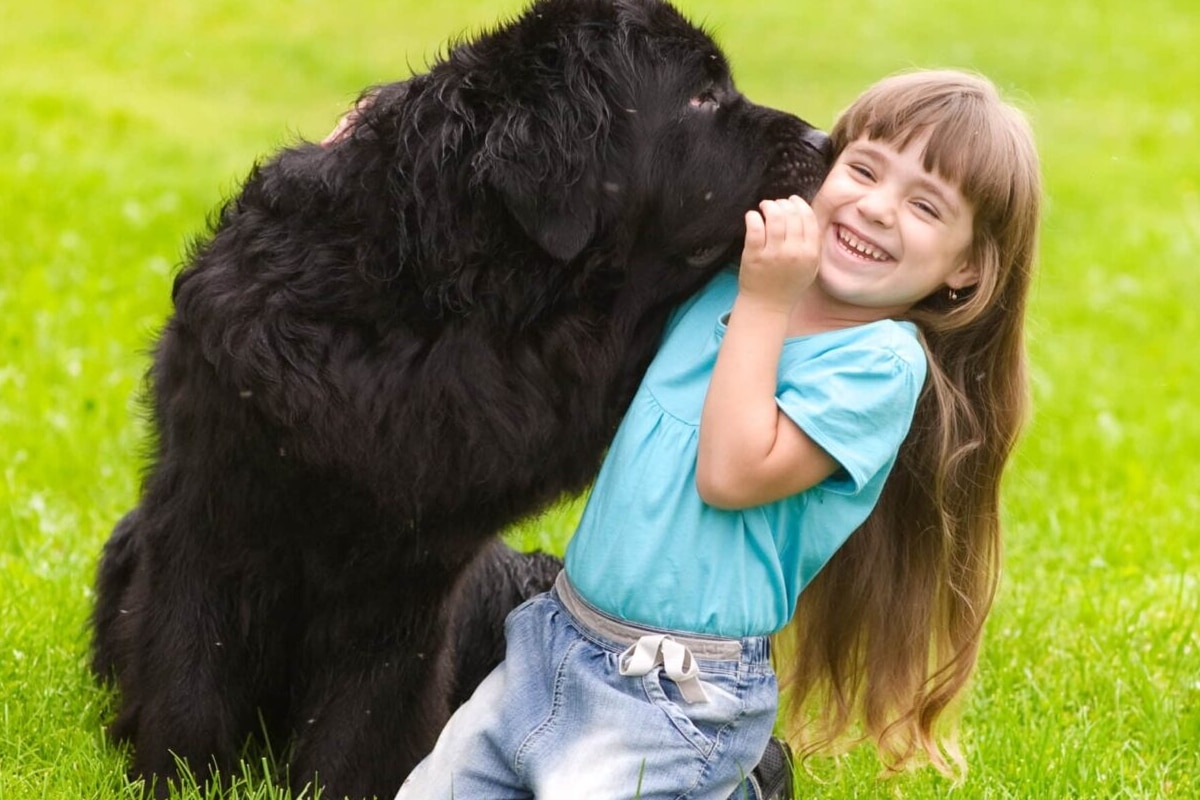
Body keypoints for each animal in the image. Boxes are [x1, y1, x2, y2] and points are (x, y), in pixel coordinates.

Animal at [91, 3, 825, 796]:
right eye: (701, 96)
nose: (826, 140)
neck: (441, 299)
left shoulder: (410, 570)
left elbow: (367, 716)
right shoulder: (211, 509)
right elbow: (190, 672)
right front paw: (177, 776)